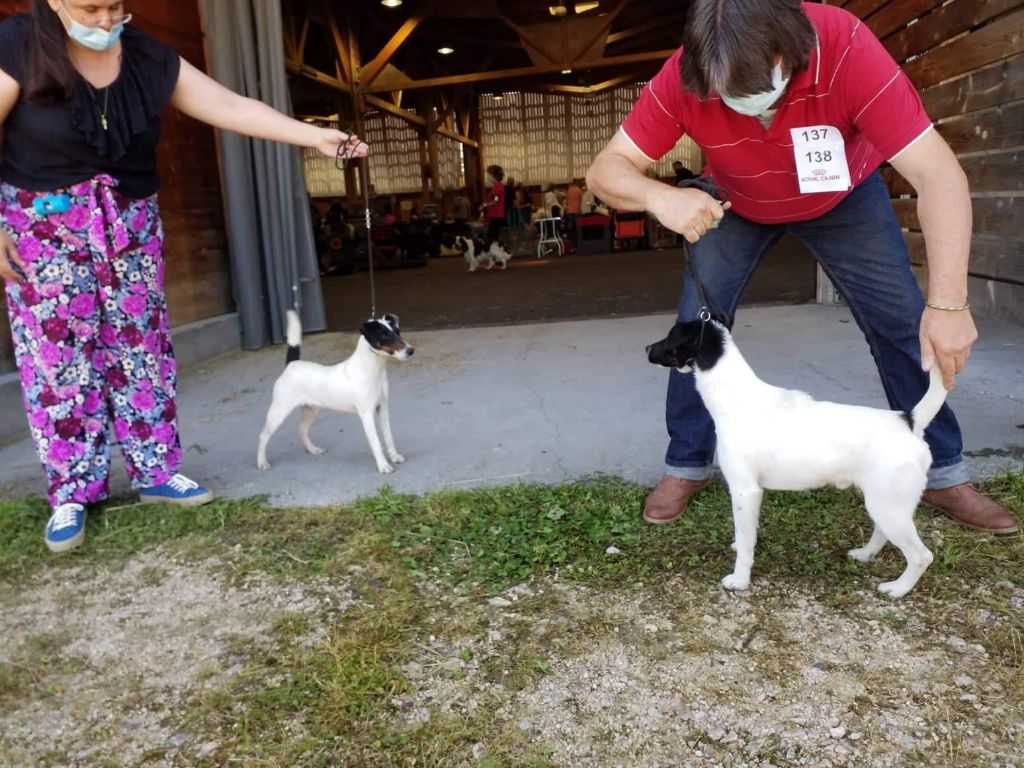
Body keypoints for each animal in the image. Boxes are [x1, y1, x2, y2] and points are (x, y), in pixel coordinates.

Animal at [257, 311, 413, 474]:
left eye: (397, 332)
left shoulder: (382, 409)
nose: (411, 350)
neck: (372, 370)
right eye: (384, 335)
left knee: (301, 429)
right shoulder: (366, 414)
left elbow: (388, 436)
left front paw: (394, 456)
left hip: (311, 410)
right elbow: (376, 442)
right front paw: (383, 465)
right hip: (279, 411)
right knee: (263, 436)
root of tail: (291, 365)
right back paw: (262, 462)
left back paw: (313, 449)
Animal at [646, 317, 947, 598]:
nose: (647, 348)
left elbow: (745, 543)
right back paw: (865, 554)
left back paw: (898, 588)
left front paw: (740, 580)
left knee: (921, 556)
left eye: (670, 337)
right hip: (883, 503)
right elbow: (746, 534)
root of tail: (908, 421)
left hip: (889, 507)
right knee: (883, 532)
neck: (735, 398)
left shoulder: (745, 491)